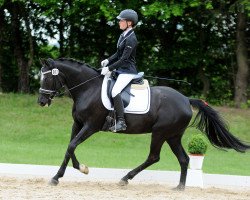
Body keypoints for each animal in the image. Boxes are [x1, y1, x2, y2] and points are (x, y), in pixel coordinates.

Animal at [37, 58, 250, 191]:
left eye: (47, 77)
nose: (41, 101)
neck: (88, 88)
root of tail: (186, 99)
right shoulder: (78, 124)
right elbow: (70, 148)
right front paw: (78, 169)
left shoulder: (91, 126)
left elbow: (72, 145)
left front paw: (59, 177)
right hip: (173, 136)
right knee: (183, 159)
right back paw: (179, 187)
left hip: (160, 133)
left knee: (154, 157)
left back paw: (125, 179)